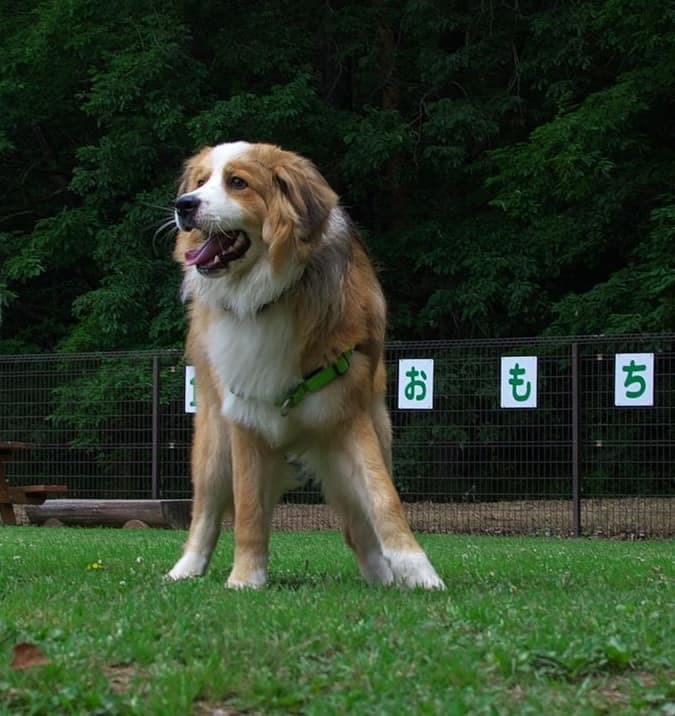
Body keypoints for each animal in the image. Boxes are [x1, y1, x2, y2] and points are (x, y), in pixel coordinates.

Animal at [168, 143, 444, 592]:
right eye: (200, 181)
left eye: (237, 182)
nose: (184, 205)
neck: (270, 296)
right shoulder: (244, 423)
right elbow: (248, 512)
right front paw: (246, 578)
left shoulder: (350, 418)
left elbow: (384, 498)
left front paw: (419, 572)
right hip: (213, 449)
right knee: (205, 516)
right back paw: (184, 570)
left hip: (375, 434)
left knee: (358, 527)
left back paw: (382, 576)